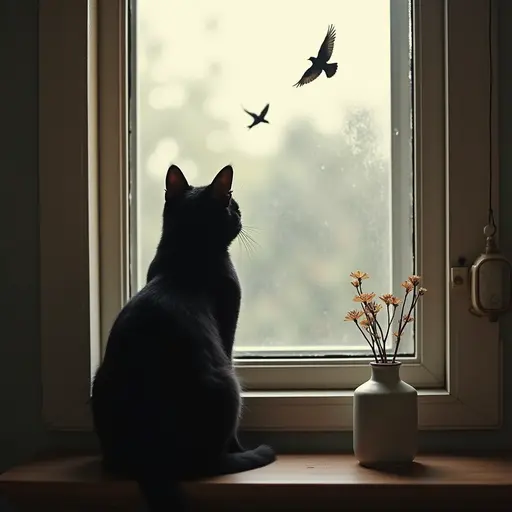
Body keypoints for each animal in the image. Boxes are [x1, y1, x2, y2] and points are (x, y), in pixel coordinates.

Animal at [91, 165, 276, 512]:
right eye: (232, 203)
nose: (240, 213)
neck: (187, 253)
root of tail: (152, 462)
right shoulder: (228, 324)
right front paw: (240, 448)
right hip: (228, 383)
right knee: (213, 459)